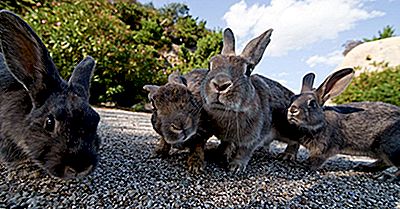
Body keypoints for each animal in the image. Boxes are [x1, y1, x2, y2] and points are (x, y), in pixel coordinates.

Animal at [200, 27, 296, 172]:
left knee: (296, 142)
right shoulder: (227, 138)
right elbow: (226, 144)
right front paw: (220, 154)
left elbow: (244, 151)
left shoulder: (254, 137)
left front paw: (235, 167)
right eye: (210, 64)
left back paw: (287, 155)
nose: (220, 85)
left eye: (249, 70)